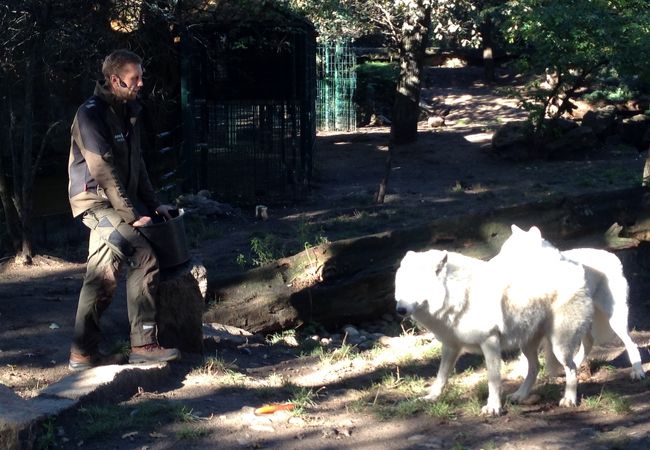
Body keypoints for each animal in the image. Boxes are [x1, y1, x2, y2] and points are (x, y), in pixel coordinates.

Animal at [392, 250, 588, 414]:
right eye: (401, 287)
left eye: (416, 286)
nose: (400, 310)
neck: (456, 295)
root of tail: (575, 265)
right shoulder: (451, 346)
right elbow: (441, 376)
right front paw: (431, 397)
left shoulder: (490, 342)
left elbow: (493, 380)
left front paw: (493, 407)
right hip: (527, 344)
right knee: (535, 367)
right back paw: (520, 396)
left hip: (559, 346)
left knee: (572, 368)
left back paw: (569, 400)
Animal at [494, 225, 640, 380]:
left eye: (508, 252)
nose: (492, 262)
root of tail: (613, 257)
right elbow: (526, 356)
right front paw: (520, 373)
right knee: (589, 343)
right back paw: (575, 365)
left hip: (614, 320)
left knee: (631, 344)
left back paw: (638, 371)